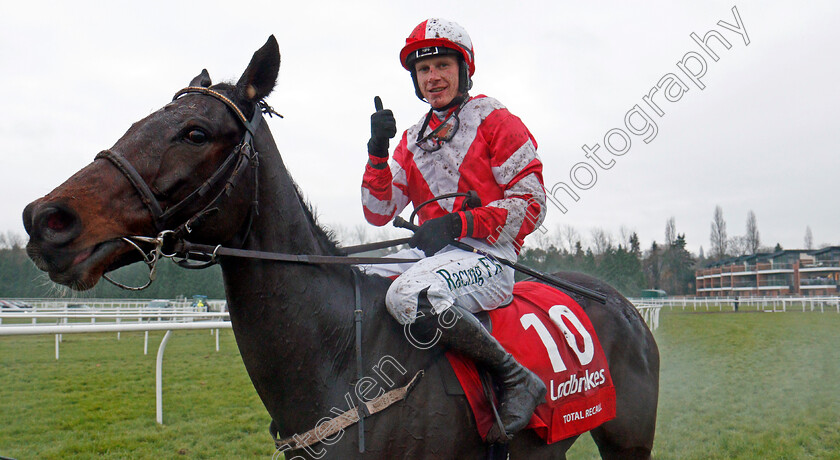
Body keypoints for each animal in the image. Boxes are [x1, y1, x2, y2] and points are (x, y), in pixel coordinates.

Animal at [23, 36, 660, 460]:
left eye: (196, 132)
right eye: (141, 121)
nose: (45, 220)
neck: (338, 354)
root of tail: (625, 305)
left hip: (628, 437)